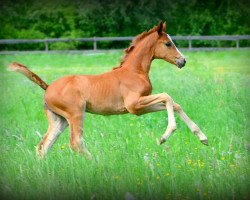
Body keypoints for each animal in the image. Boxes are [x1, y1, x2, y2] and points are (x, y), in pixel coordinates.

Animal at [9, 21, 207, 159]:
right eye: (167, 44)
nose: (182, 61)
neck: (134, 71)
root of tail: (48, 87)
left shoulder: (138, 108)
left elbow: (175, 104)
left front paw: (202, 137)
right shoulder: (134, 105)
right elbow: (168, 97)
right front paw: (165, 136)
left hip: (59, 120)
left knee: (43, 146)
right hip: (76, 114)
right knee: (75, 142)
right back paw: (95, 162)